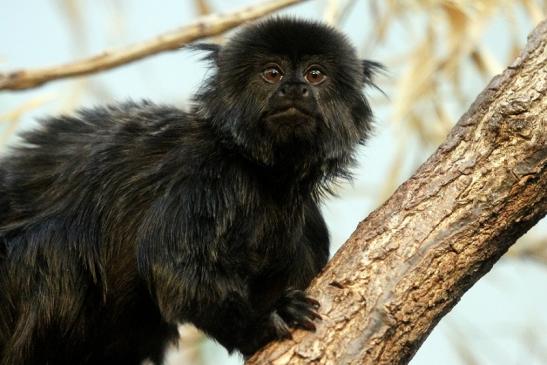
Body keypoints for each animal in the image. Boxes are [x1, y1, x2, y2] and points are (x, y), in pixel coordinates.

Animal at [0, 17, 382, 364]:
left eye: (315, 75)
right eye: (272, 73)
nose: (293, 89)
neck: (262, 176)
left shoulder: (309, 224)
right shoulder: (205, 176)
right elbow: (176, 267)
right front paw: (265, 321)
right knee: (59, 248)